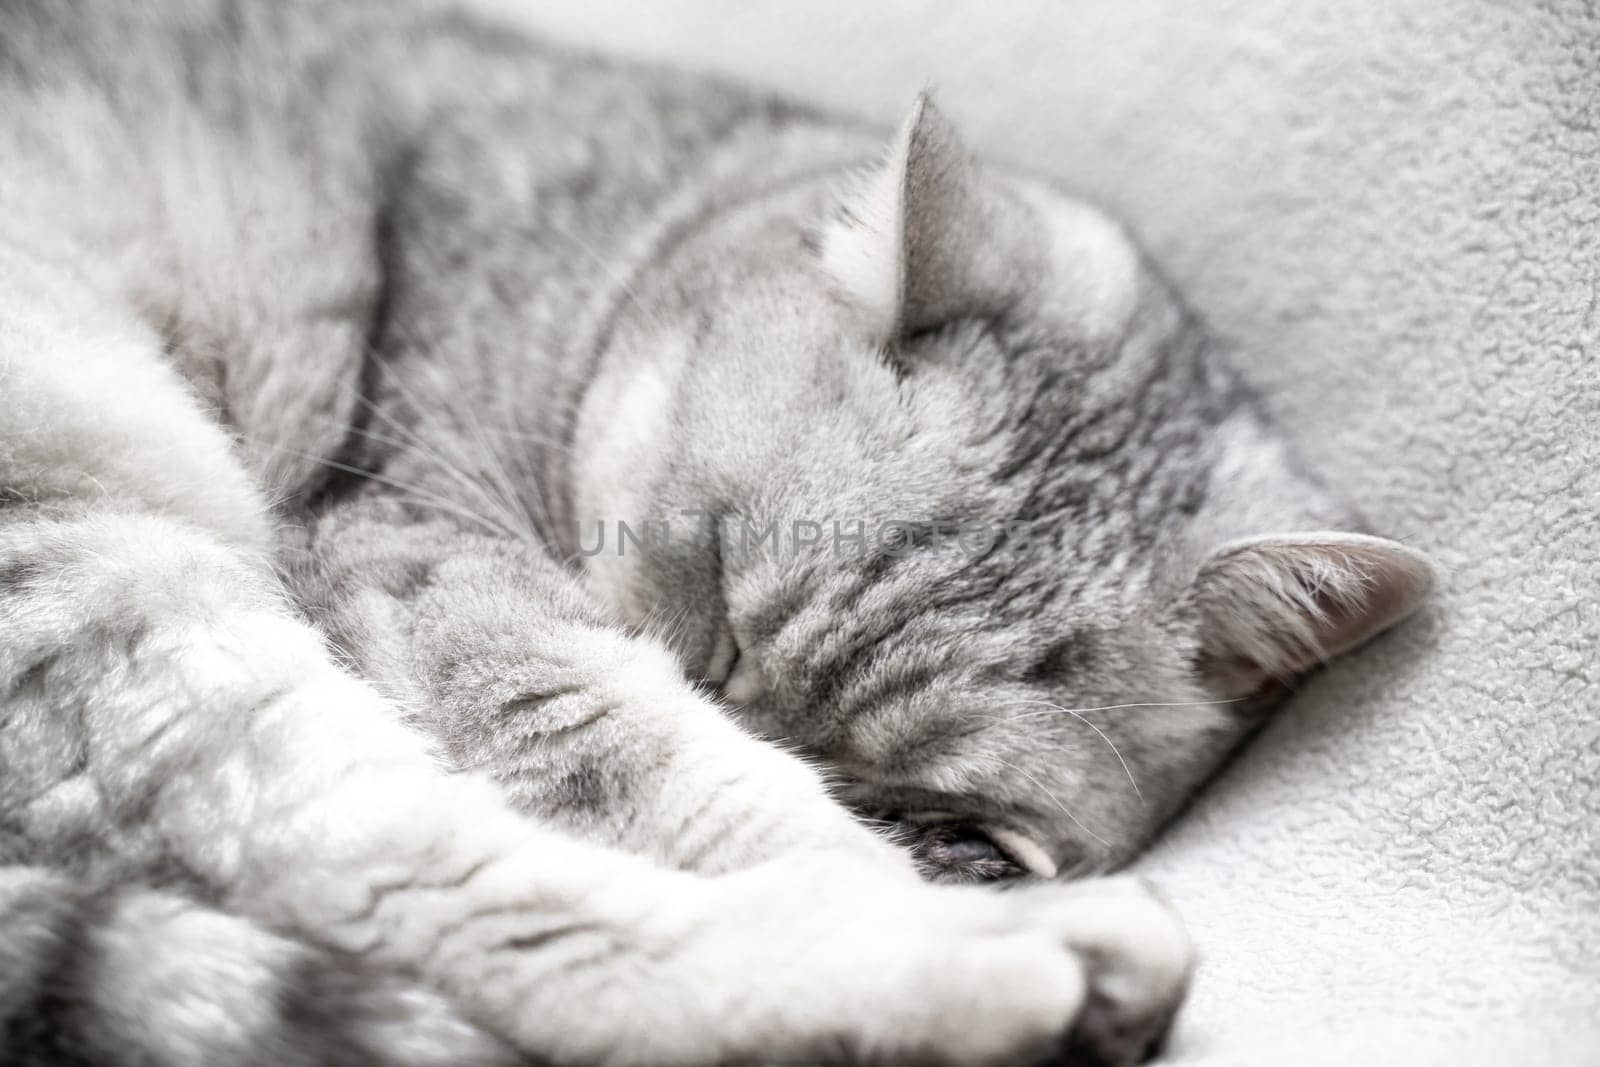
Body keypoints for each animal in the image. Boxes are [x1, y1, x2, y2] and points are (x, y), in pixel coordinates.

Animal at [0, 2, 1433, 1067]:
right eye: (705, 592)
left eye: (942, 794)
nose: (714, 686)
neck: (637, 230)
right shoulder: (419, 550)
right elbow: (683, 767)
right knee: (388, 874)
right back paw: (1005, 962)